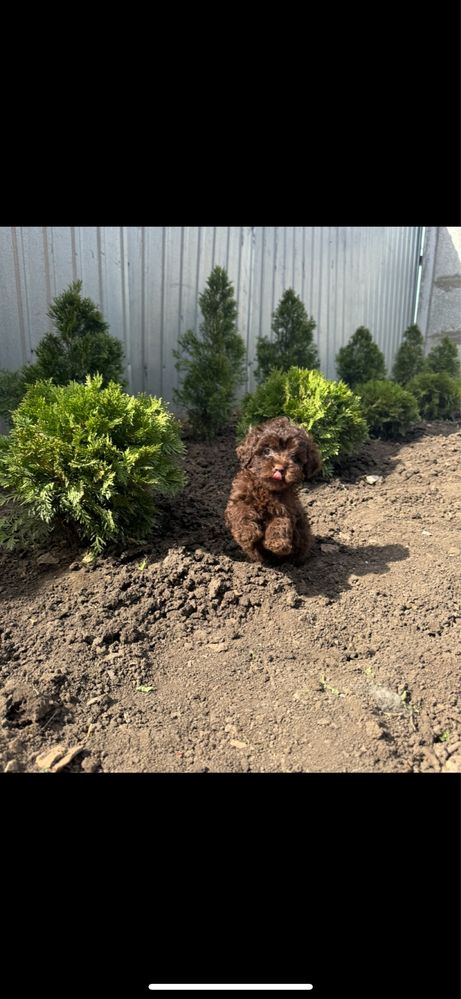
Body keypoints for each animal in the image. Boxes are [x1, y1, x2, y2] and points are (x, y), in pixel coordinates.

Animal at [226, 418, 320, 568]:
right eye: (267, 451)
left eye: (295, 457)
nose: (280, 468)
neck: (266, 488)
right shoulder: (238, 498)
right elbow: (242, 511)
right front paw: (247, 532)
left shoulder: (286, 508)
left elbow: (281, 522)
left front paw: (277, 543)